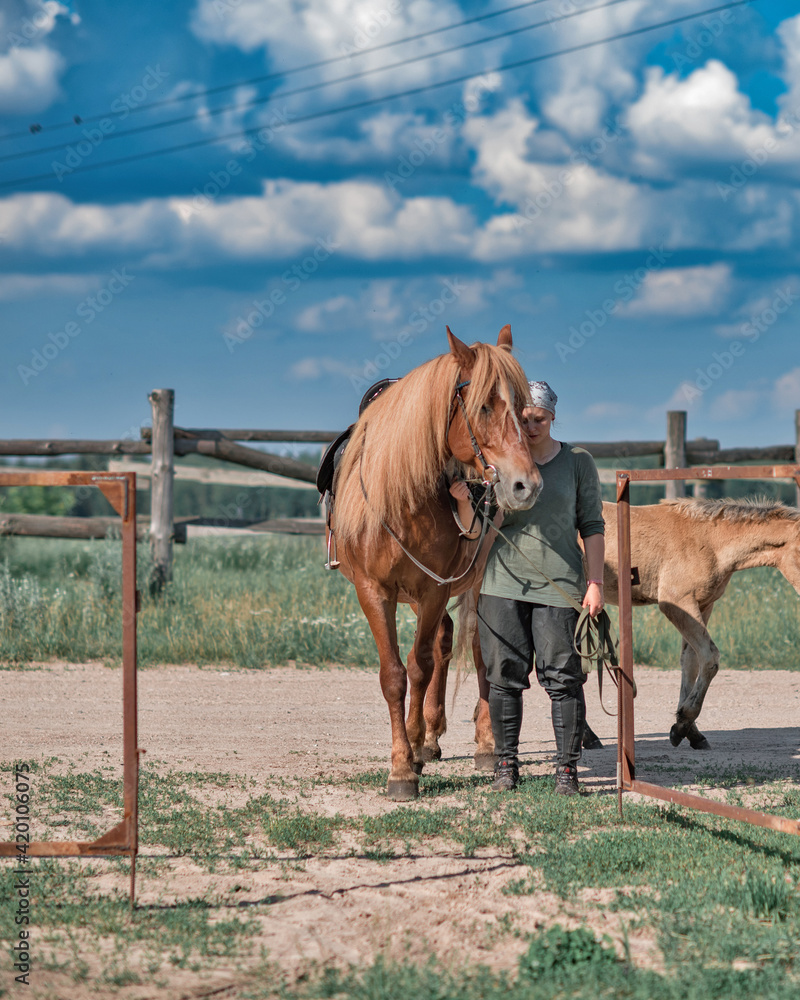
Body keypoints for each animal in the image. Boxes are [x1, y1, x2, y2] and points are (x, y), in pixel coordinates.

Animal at [327, 326, 542, 799]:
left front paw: (408, 758)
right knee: (444, 641)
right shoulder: (375, 591)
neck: (403, 498)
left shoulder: (434, 588)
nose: (527, 485)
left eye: (522, 409)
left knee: (477, 653)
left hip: (475, 584)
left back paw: (484, 744)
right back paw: (430, 736)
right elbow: (395, 674)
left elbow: (419, 665)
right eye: (484, 405)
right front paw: (406, 760)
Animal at [465, 495, 800, 764]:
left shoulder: (702, 606)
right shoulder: (675, 603)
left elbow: (691, 662)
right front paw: (682, 723)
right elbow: (710, 658)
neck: (709, 541)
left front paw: (689, 731)